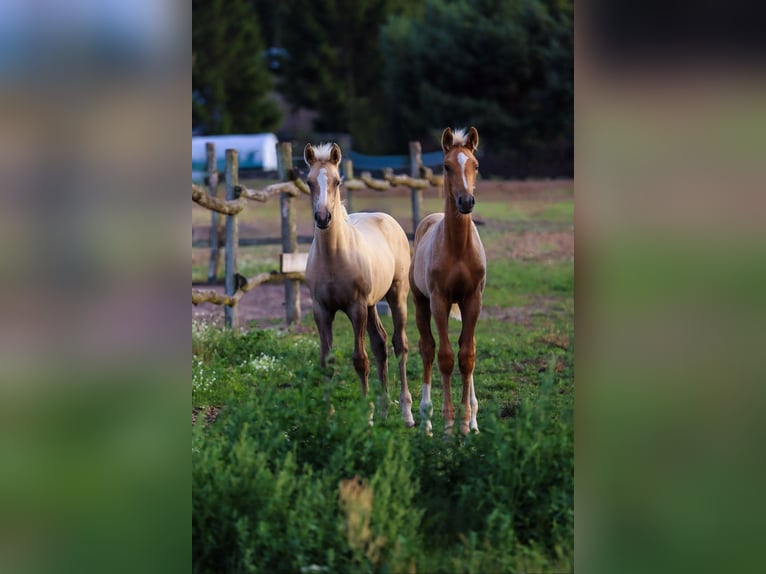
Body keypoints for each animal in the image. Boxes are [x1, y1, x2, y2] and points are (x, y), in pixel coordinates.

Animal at [303, 142, 414, 426]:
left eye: (337, 181)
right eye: (309, 182)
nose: (323, 217)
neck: (333, 257)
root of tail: (387, 219)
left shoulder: (356, 307)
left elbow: (360, 360)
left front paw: (366, 416)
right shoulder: (321, 310)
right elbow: (327, 361)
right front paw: (328, 415)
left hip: (396, 295)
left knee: (399, 344)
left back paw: (407, 413)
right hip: (373, 304)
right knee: (381, 344)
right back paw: (384, 408)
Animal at [409, 127, 487, 436]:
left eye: (475, 165)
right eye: (446, 166)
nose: (466, 201)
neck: (457, 248)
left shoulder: (473, 300)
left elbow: (467, 355)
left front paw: (466, 424)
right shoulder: (439, 301)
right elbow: (444, 356)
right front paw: (448, 424)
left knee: (469, 346)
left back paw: (474, 420)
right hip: (420, 303)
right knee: (427, 349)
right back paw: (426, 419)